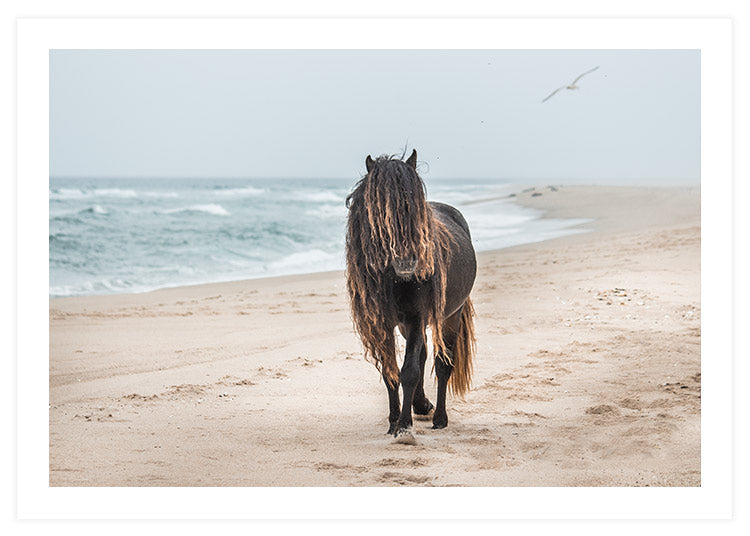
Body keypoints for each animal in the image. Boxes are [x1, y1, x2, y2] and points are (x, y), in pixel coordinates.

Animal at [346, 149, 478, 442]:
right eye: (379, 210)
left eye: (416, 205)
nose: (407, 262)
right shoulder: (385, 323)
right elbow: (391, 372)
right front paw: (393, 421)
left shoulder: (418, 318)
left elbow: (409, 371)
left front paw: (404, 427)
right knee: (424, 355)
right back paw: (422, 405)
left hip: (451, 316)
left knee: (442, 363)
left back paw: (439, 418)